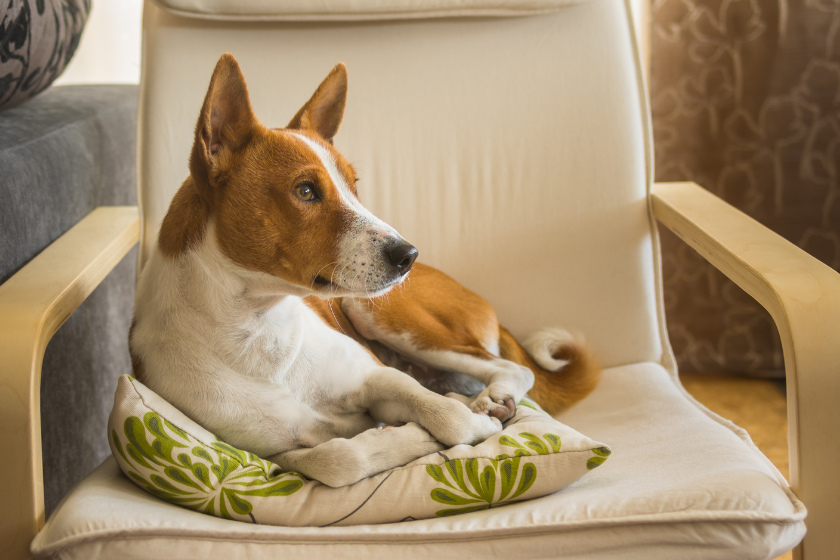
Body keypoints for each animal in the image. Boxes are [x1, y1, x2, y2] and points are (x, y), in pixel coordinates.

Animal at [130, 54, 604, 488]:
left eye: (353, 186)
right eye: (305, 191)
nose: (408, 254)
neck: (260, 332)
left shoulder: (376, 376)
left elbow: (442, 413)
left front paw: (468, 420)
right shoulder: (278, 452)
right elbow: (340, 459)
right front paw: (413, 437)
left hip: (380, 315)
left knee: (510, 368)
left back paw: (494, 397)